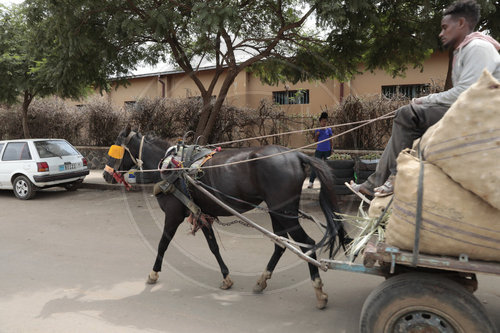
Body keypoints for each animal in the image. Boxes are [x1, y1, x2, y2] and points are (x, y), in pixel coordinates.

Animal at [103, 126, 348, 308]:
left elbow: (163, 243)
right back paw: (262, 281)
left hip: (286, 212)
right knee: (280, 243)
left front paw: (153, 274)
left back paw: (319, 293)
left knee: (306, 243)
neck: (171, 165)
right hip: (277, 210)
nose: (106, 174)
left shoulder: (173, 214)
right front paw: (226, 278)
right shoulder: (200, 212)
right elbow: (213, 247)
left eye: (116, 145)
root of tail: (295, 154)